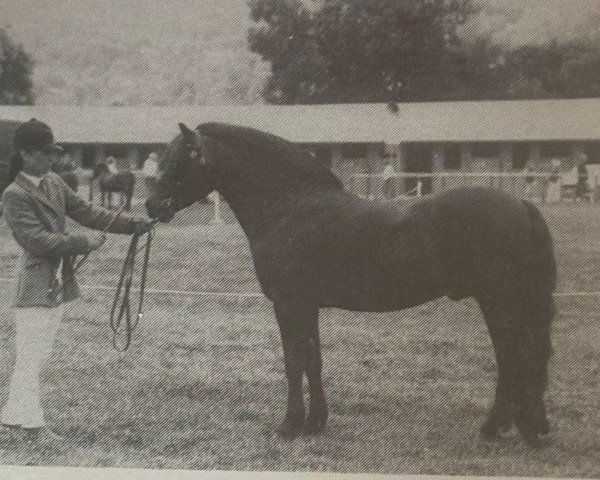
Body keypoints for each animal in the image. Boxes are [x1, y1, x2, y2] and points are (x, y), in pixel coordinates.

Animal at [146, 123, 556, 446]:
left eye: (183, 158)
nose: (152, 206)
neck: (290, 207)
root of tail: (521, 204)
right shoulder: (306, 305)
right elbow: (313, 360)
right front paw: (315, 423)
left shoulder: (288, 303)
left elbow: (293, 361)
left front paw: (289, 426)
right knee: (520, 356)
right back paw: (516, 427)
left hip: (499, 300)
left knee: (516, 357)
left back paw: (504, 428)